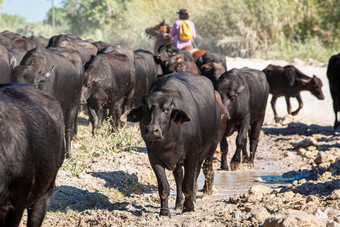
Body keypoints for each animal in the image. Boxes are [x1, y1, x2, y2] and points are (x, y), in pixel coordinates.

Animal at [124, 72, 226, 215]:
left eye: (166, 109)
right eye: (145, 108)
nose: (152, 130)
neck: (168, 141)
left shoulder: (192, 155)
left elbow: (188, 184)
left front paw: (188, 207)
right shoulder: (154, 158)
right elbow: (164, 187)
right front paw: (164, 212)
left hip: (208, 148)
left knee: (197, 173)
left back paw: (192, 199)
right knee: (178, 176)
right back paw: (178, 203)